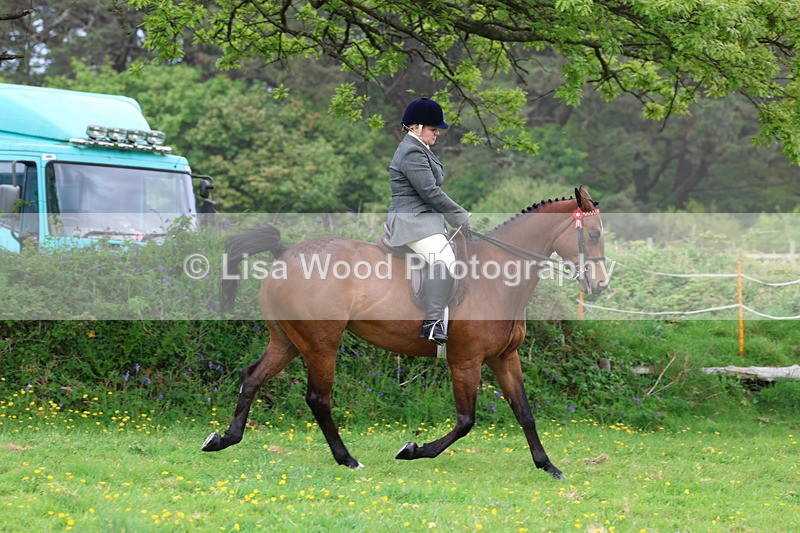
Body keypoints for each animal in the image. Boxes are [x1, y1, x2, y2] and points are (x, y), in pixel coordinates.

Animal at [202, 186, 608, 479]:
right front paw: (412, 450)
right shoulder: (465, 361)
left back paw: (223, 439)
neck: (498, 279)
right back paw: (348, 460)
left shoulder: (505, 358)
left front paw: (548, 466)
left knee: (253, 377)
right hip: (321, 344)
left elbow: (525, 412)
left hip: (287, 341)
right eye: (593, 234)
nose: (601, 285)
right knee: (318, 398)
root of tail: (285, 253)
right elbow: (466, 421)